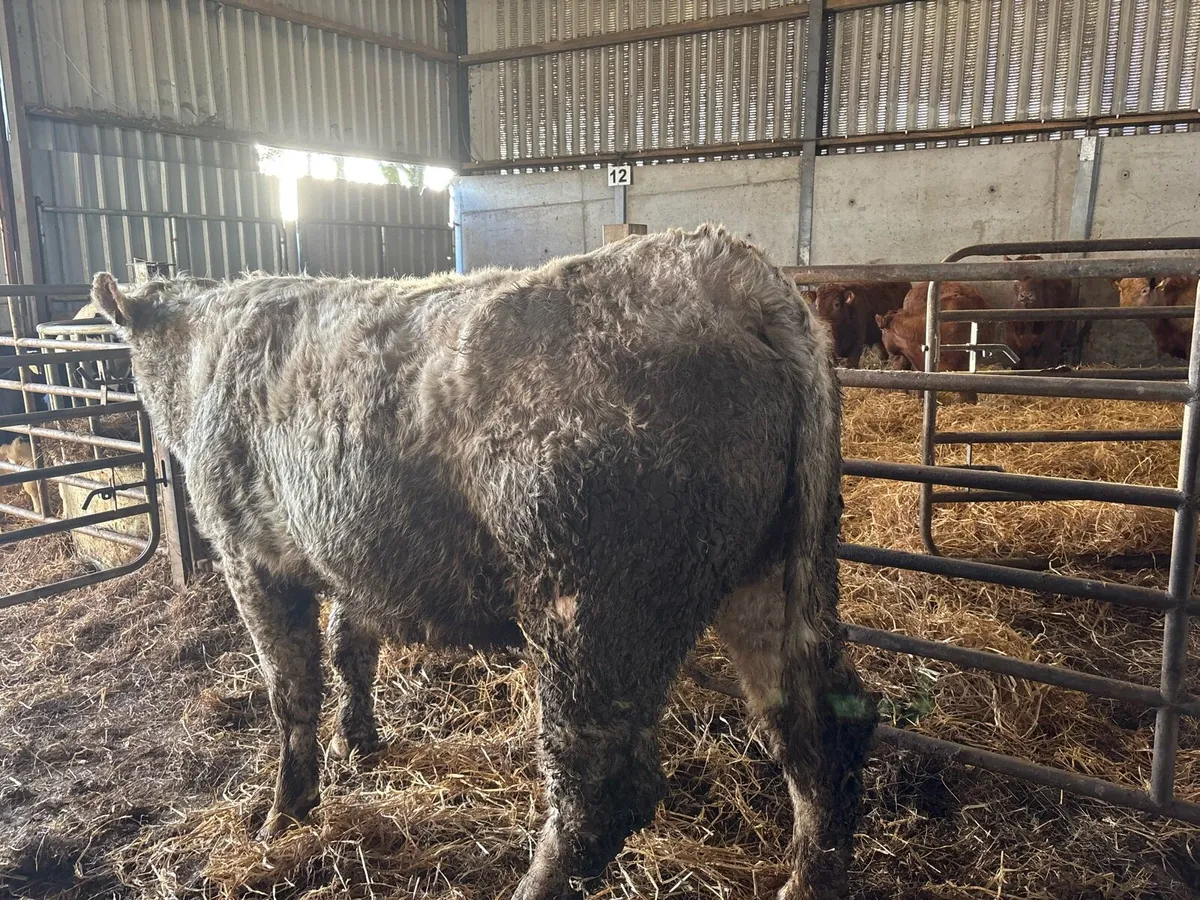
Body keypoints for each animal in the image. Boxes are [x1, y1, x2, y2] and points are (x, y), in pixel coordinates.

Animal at [88, 224, 876, 900]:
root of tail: (736, 273)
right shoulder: (353, 556)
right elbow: (352, 649)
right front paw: (359, 743)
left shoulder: (251, 555)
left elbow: (292, 692)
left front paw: (285, 815)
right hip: (776, 577)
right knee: (821, 724)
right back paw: (808, 880)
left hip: (590, 611)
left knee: (599, 789)